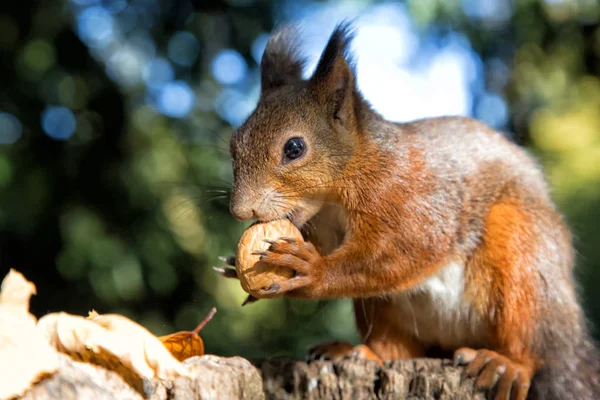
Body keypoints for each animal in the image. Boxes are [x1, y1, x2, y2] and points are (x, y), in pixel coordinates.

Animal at [220, 23, 600, 398]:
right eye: (234, 144)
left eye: (294, 148)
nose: (240, 211)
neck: (330, 202)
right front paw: (235, 268)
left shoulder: (414, 198)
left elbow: (403, 250)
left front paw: (312, 270)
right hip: (385, 311)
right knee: (394, 348)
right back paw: (357, 352)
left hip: (525, 257)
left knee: (532, 338)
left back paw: (507, 364)